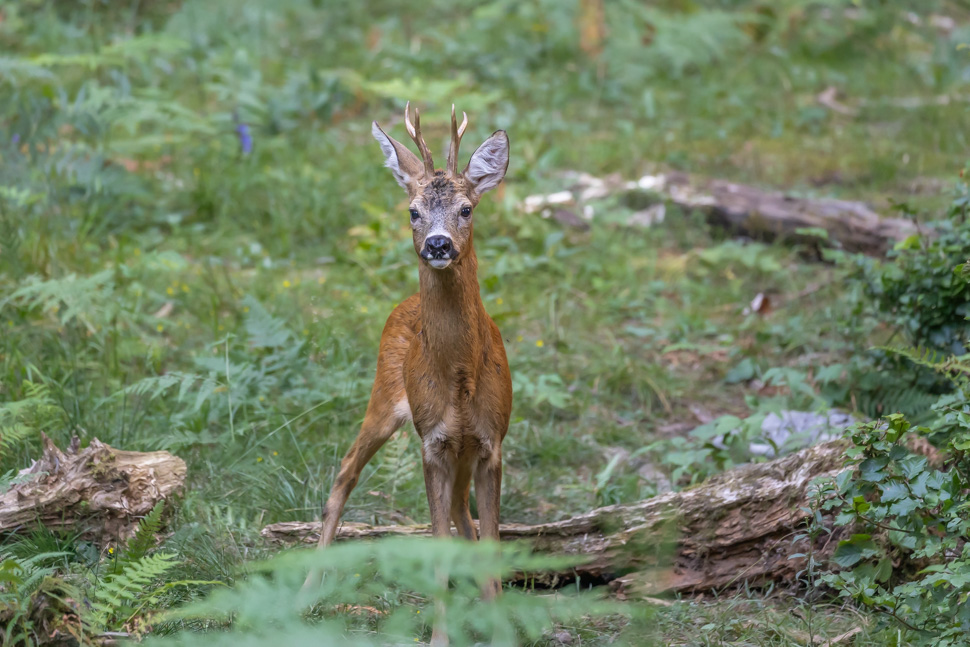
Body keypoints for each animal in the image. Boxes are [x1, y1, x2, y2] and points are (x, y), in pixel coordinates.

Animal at [308, 101, 516, 644]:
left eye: (467, 208)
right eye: (413, 211)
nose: (438, 245)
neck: (461, 379)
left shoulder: (490, 443)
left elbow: (491, 544)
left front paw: (503, 629)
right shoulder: (433, 444)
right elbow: (439, 547)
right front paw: (440, 638)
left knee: (464, 515)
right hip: (384, 399)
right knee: (345, 472)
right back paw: (304, 592)